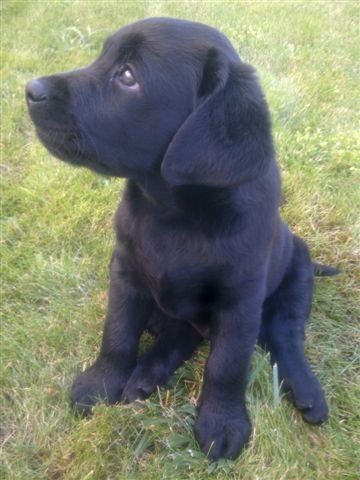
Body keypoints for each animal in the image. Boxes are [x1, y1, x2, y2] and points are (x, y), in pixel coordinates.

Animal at [26, 17, 338, 462]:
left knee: (284, 335)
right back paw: (145, 375)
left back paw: (308, 392)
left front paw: (223, 423)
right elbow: (117, 333)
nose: (30, 90)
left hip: (296, 269)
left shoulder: (241, 300)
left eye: (128, 76)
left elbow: (226, 364)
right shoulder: (125, 272)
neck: (173, 213)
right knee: (180, 334)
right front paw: (102, 383)